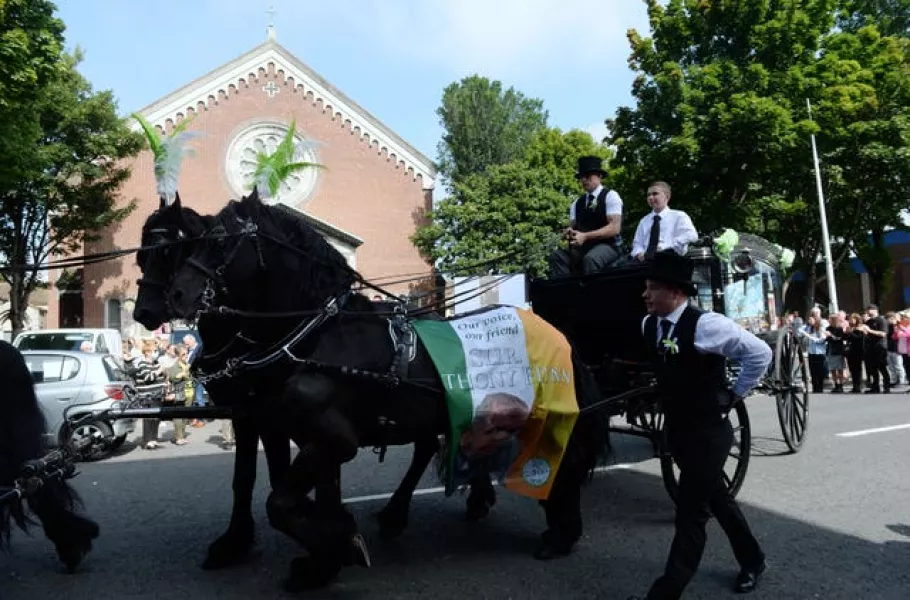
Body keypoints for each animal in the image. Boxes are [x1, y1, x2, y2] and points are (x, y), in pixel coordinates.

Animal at [146, 191, 608, 592]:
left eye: (218, 242)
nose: (173, 297)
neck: (318, 336)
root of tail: (557, 334)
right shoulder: (298, 432)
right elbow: (299, 494)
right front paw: (326, 553)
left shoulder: (330, 438)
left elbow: (279, 501)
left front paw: (337, 548)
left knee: (565, 458)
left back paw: (560, 530)